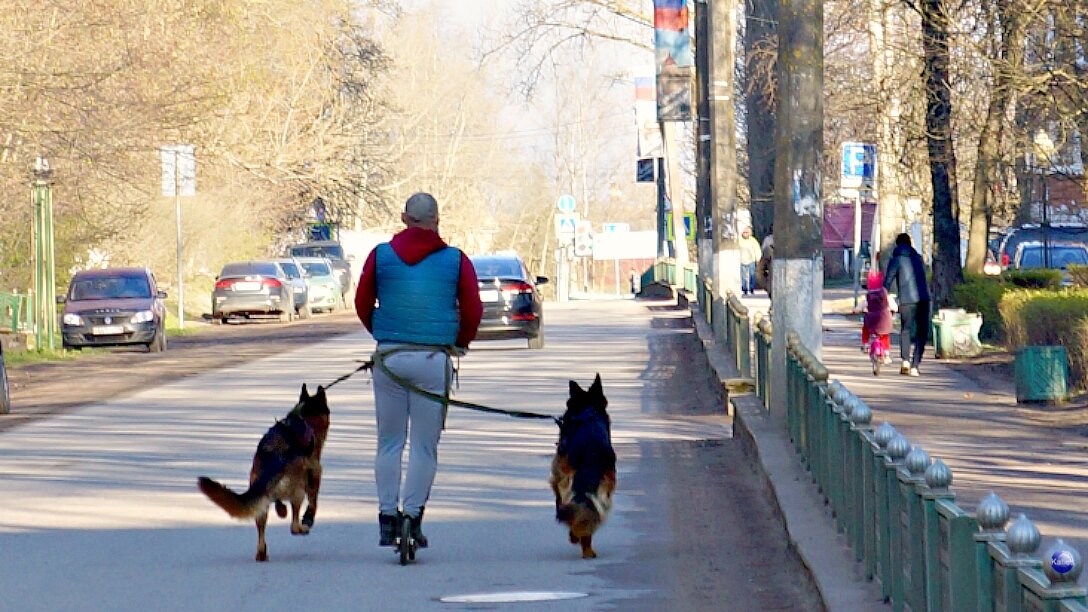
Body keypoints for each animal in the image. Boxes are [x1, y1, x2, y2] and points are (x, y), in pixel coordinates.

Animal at [198, 383, 328, 561]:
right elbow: (313, 502)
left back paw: (262, 552)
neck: (305, 418)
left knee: (262, 529)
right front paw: (308, 517)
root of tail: (272, 458)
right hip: (297, 491)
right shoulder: (315, 472)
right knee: (293, 526)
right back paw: (301, 528)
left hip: (262, 501)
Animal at [548, 372, 617, 557]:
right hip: (606, 488)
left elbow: (556, 493)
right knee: (590, 512)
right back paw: (586, 547)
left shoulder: (558, 470)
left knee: (565, 503)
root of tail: (592, 453)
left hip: (566, 475)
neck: (588, 410)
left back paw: (574, 536)